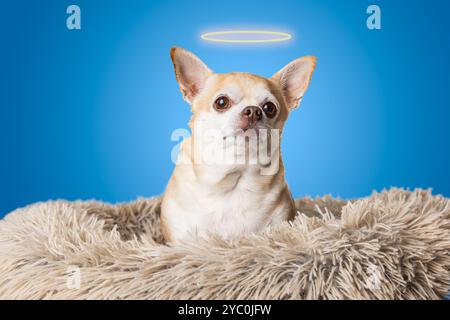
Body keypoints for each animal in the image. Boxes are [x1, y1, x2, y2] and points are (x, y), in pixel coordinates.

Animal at [162, 47, 316, 242]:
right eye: (221, 102)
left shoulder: (279, 221)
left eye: (269, 108)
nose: (253, 111)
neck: (236, 174)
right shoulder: (180, 237)